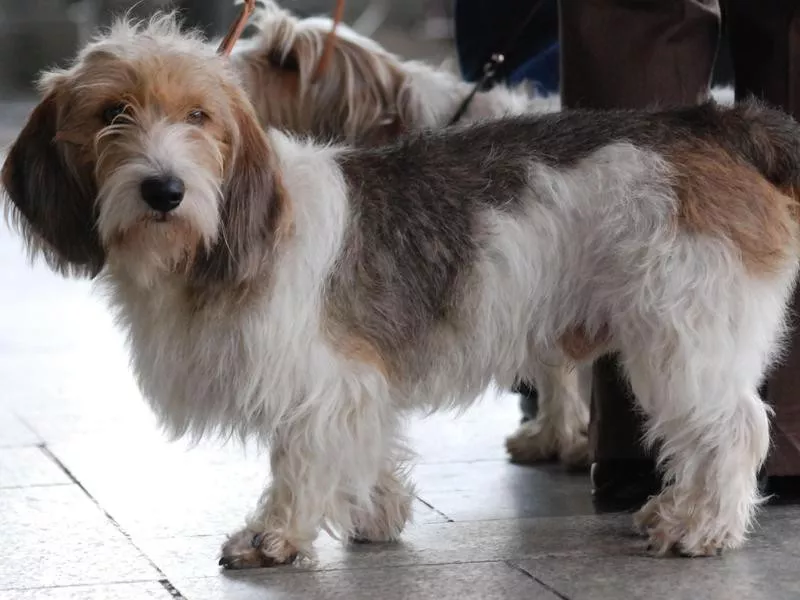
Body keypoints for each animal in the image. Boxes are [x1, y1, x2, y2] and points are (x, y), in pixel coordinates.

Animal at [6, 15, 800, 568]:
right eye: (112, 113)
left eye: (199, 117)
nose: (163, 190)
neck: (217, 240)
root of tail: (719, 123)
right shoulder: (360, 382)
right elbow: (366, 446)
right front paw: (375, 513)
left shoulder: (320, 381)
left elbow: (300, 458)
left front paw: (275, 536)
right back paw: (673, 509)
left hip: (685, 335)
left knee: (735, 429)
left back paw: (703, 526)